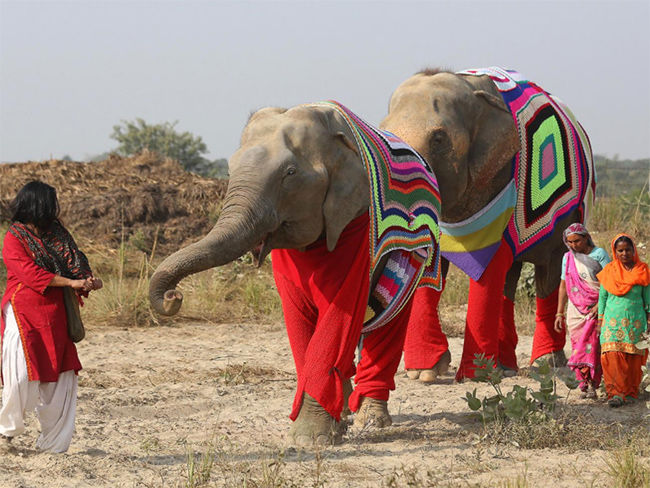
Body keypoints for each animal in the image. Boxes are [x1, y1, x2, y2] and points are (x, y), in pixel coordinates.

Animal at [149, 100, 443, 445]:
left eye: (289, 174)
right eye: (229, 171)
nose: (174, 296)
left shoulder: (354, 226)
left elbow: (338, 315)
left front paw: (309, 438)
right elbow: (300, 319)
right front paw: (328, 427)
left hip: (410, 255)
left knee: (388, 319)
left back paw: (372, 419)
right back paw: (345, 410)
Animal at [380, 66, 595, 380]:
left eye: (439, 139)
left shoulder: (499, 183)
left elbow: (489, 266)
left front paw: (476, 374)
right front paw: (425, 372)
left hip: (567, 217)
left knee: (548, 273)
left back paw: (545, 362)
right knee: (511, 277)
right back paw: (506, 365)